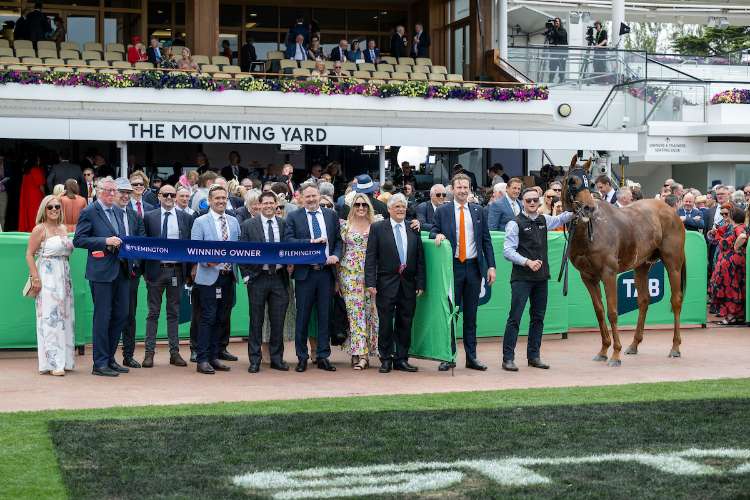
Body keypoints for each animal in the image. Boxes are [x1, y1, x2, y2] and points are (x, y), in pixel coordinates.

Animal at [560, 154, 686, 367]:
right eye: (573, 181)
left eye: (590, 183)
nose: (588, 208)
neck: (592, 231)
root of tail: (671, 211)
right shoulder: (588, 277)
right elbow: (599, 311)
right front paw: (603, 350)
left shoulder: (608, 274)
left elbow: (612, 311)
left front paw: (615, 354)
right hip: (642, 265)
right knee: (643, 300)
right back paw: (634, 345)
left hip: (673, 264)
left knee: (676, 301)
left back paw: (675, 347)